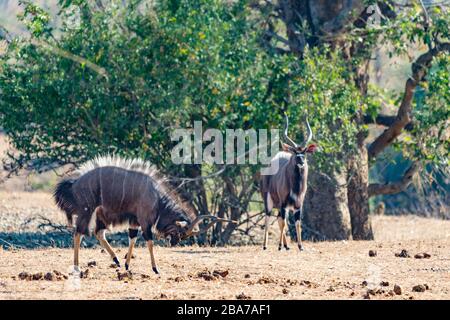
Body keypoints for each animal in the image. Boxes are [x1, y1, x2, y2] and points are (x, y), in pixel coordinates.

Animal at [53, 156, 230, 274]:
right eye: (180, 232)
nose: (174, 243)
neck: (156, 196)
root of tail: (74, 184)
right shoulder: (145, 221)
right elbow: (149, 241)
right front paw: (155, 268)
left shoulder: (134, 221)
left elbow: (132, 238)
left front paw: (127, 265)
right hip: (87, 211)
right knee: (78, 232)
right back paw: (77, 267)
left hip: (100, 214)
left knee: (98, 233)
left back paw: (116, 260)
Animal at [260, 115, 316, 252]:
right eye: (295, 152)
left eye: (304, 152)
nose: (301, 162)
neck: (295, 187)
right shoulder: (284, 203)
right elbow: (284, 222)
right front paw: (279, 245)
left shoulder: (298, 205)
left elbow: (297, 223)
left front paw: (300, 246)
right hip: (268, 201)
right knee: (269, 217)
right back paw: (266, 245)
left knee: (279, 218)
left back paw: (286, 245)